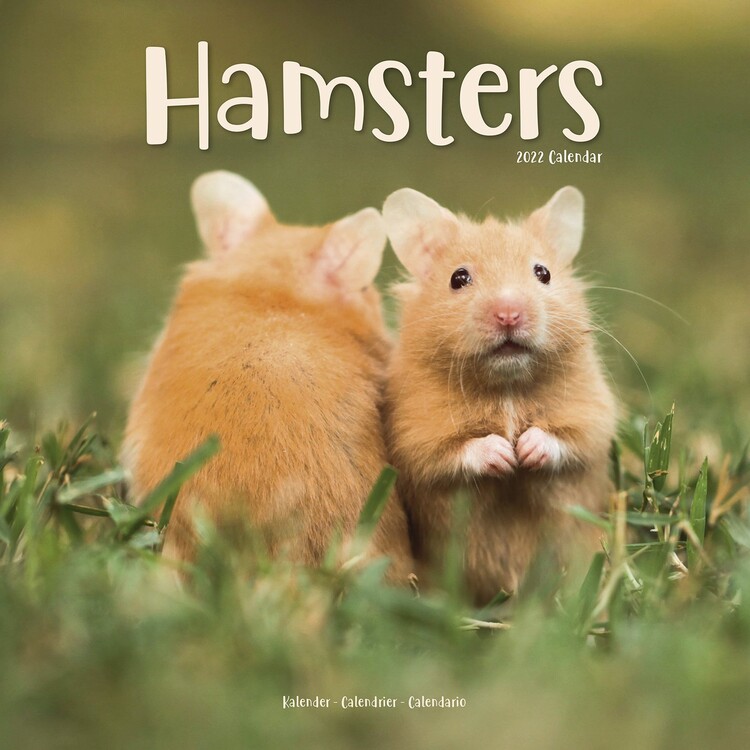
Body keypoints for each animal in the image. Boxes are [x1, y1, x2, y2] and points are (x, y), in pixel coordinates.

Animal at [382, 186, 617, 604]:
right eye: (458, 278)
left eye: (543, 273)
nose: (509, 314)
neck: (506, 385)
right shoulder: (414, 432)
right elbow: (451, 453)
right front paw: (505, 455)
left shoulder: (592, 412)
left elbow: (571, 440)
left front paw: (526, 450)